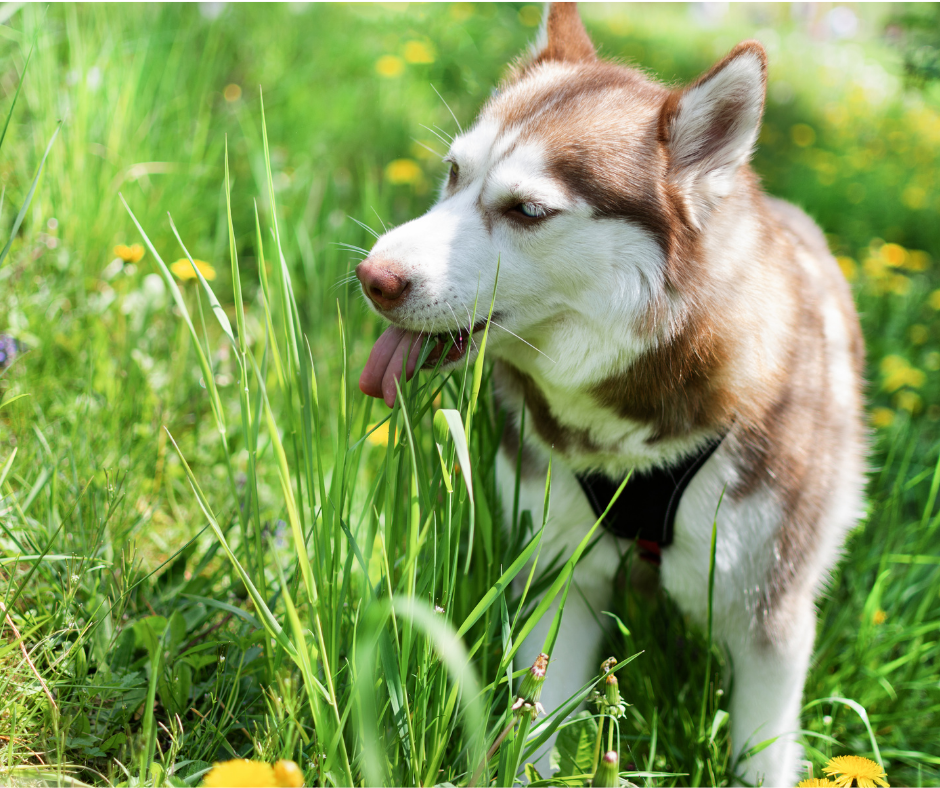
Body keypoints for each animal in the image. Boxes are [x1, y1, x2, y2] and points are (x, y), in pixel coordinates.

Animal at [354, 4, 868, 780]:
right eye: (453, 172)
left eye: (528, 210)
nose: (373, 277)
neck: (632, 436)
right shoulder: (558, 574)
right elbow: (535, 719)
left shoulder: (769, 618)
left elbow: (762, 750)